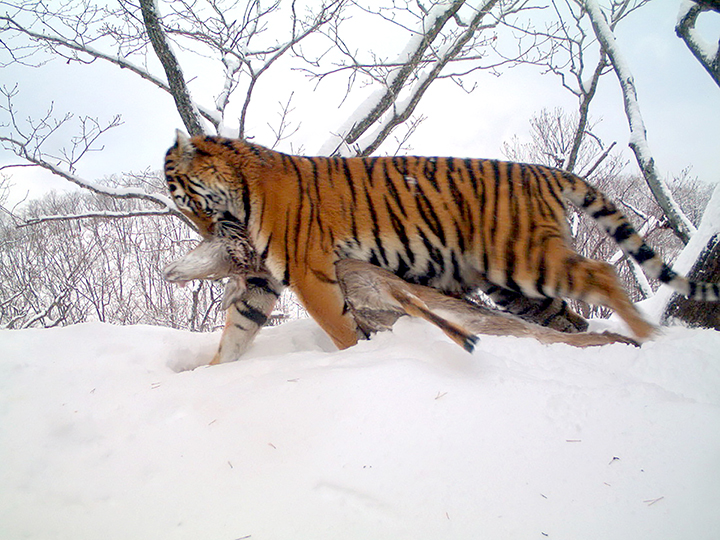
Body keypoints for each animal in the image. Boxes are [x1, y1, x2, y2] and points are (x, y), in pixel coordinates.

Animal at [165, 129, 720, 352]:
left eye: (186, 199)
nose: (206, 234)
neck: (242, 191)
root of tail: (542, 169)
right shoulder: (265, 279)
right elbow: (238, 331)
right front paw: (214, 372)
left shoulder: (309, 271)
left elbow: (341, 330)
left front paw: (354, 357)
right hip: (516, 288)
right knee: (567, 322)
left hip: (523, 258)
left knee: (601, 273)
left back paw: (649, 335)